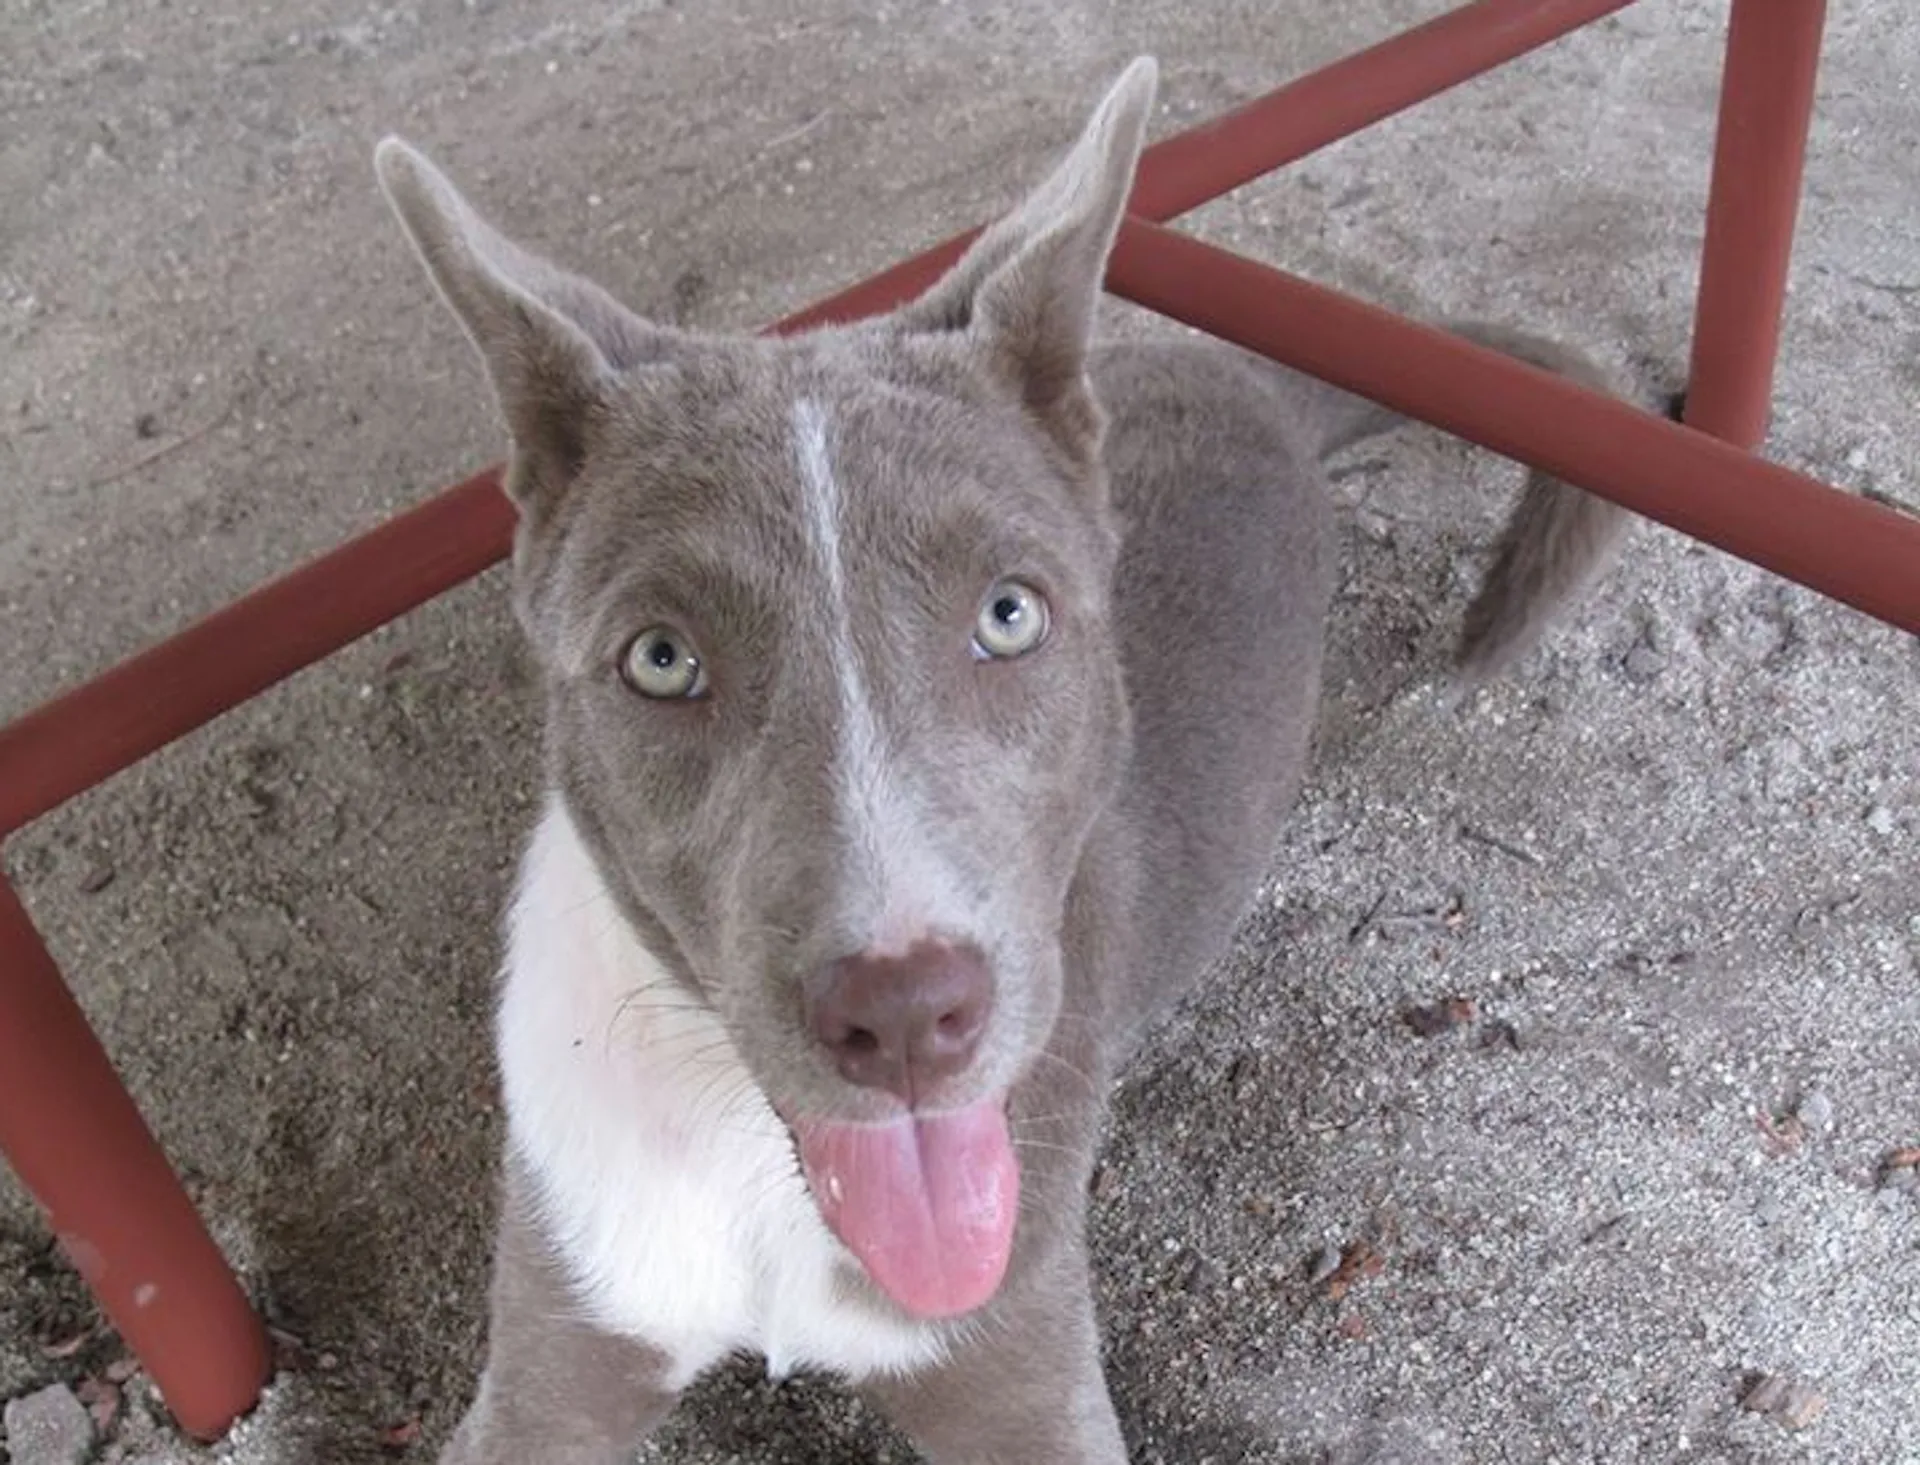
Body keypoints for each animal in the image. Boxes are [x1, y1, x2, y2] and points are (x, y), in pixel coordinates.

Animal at [370, 57, 1620, 1465]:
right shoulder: (555, 1351)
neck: (769, 1163)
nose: (906, 1011)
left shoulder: (1022, 1372)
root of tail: (1261, 395)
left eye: (1010, 613)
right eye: (660, 658)